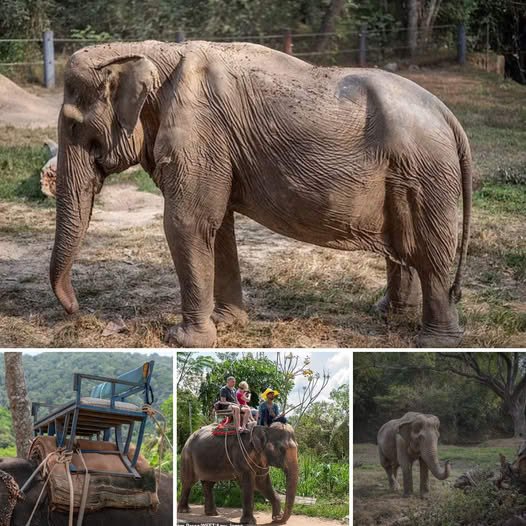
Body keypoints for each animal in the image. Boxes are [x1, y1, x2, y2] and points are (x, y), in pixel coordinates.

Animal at [50, 39, 474, 348]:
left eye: (73, 126)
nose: (76, 309)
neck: (152, 52)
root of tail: (450, 117)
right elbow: (217, 226)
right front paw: (227, 322)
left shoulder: (200, 133)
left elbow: (187, 223)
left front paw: (184, 340)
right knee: (406, 245)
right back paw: (387, 314)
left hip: (427, 173)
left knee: (432, 252)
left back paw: (436, 342)